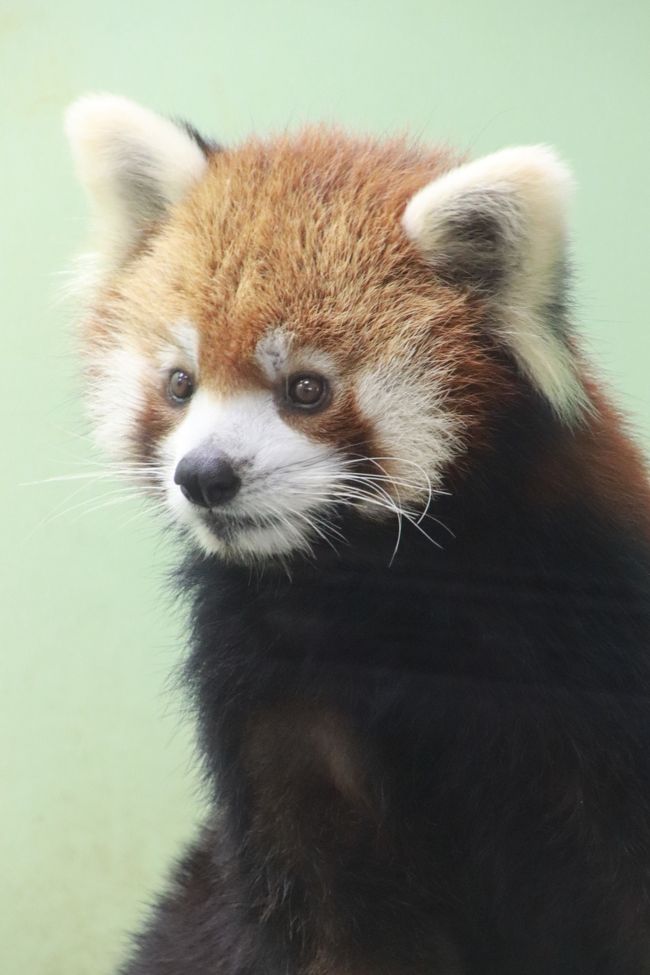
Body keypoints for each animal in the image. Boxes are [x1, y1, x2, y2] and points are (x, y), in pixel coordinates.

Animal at [64, 93, 648, 975]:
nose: (205, 475)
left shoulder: (591, 662)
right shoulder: (278, 713)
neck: (371, 592)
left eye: (306, 389)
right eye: (180, 384)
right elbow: (329, 913)